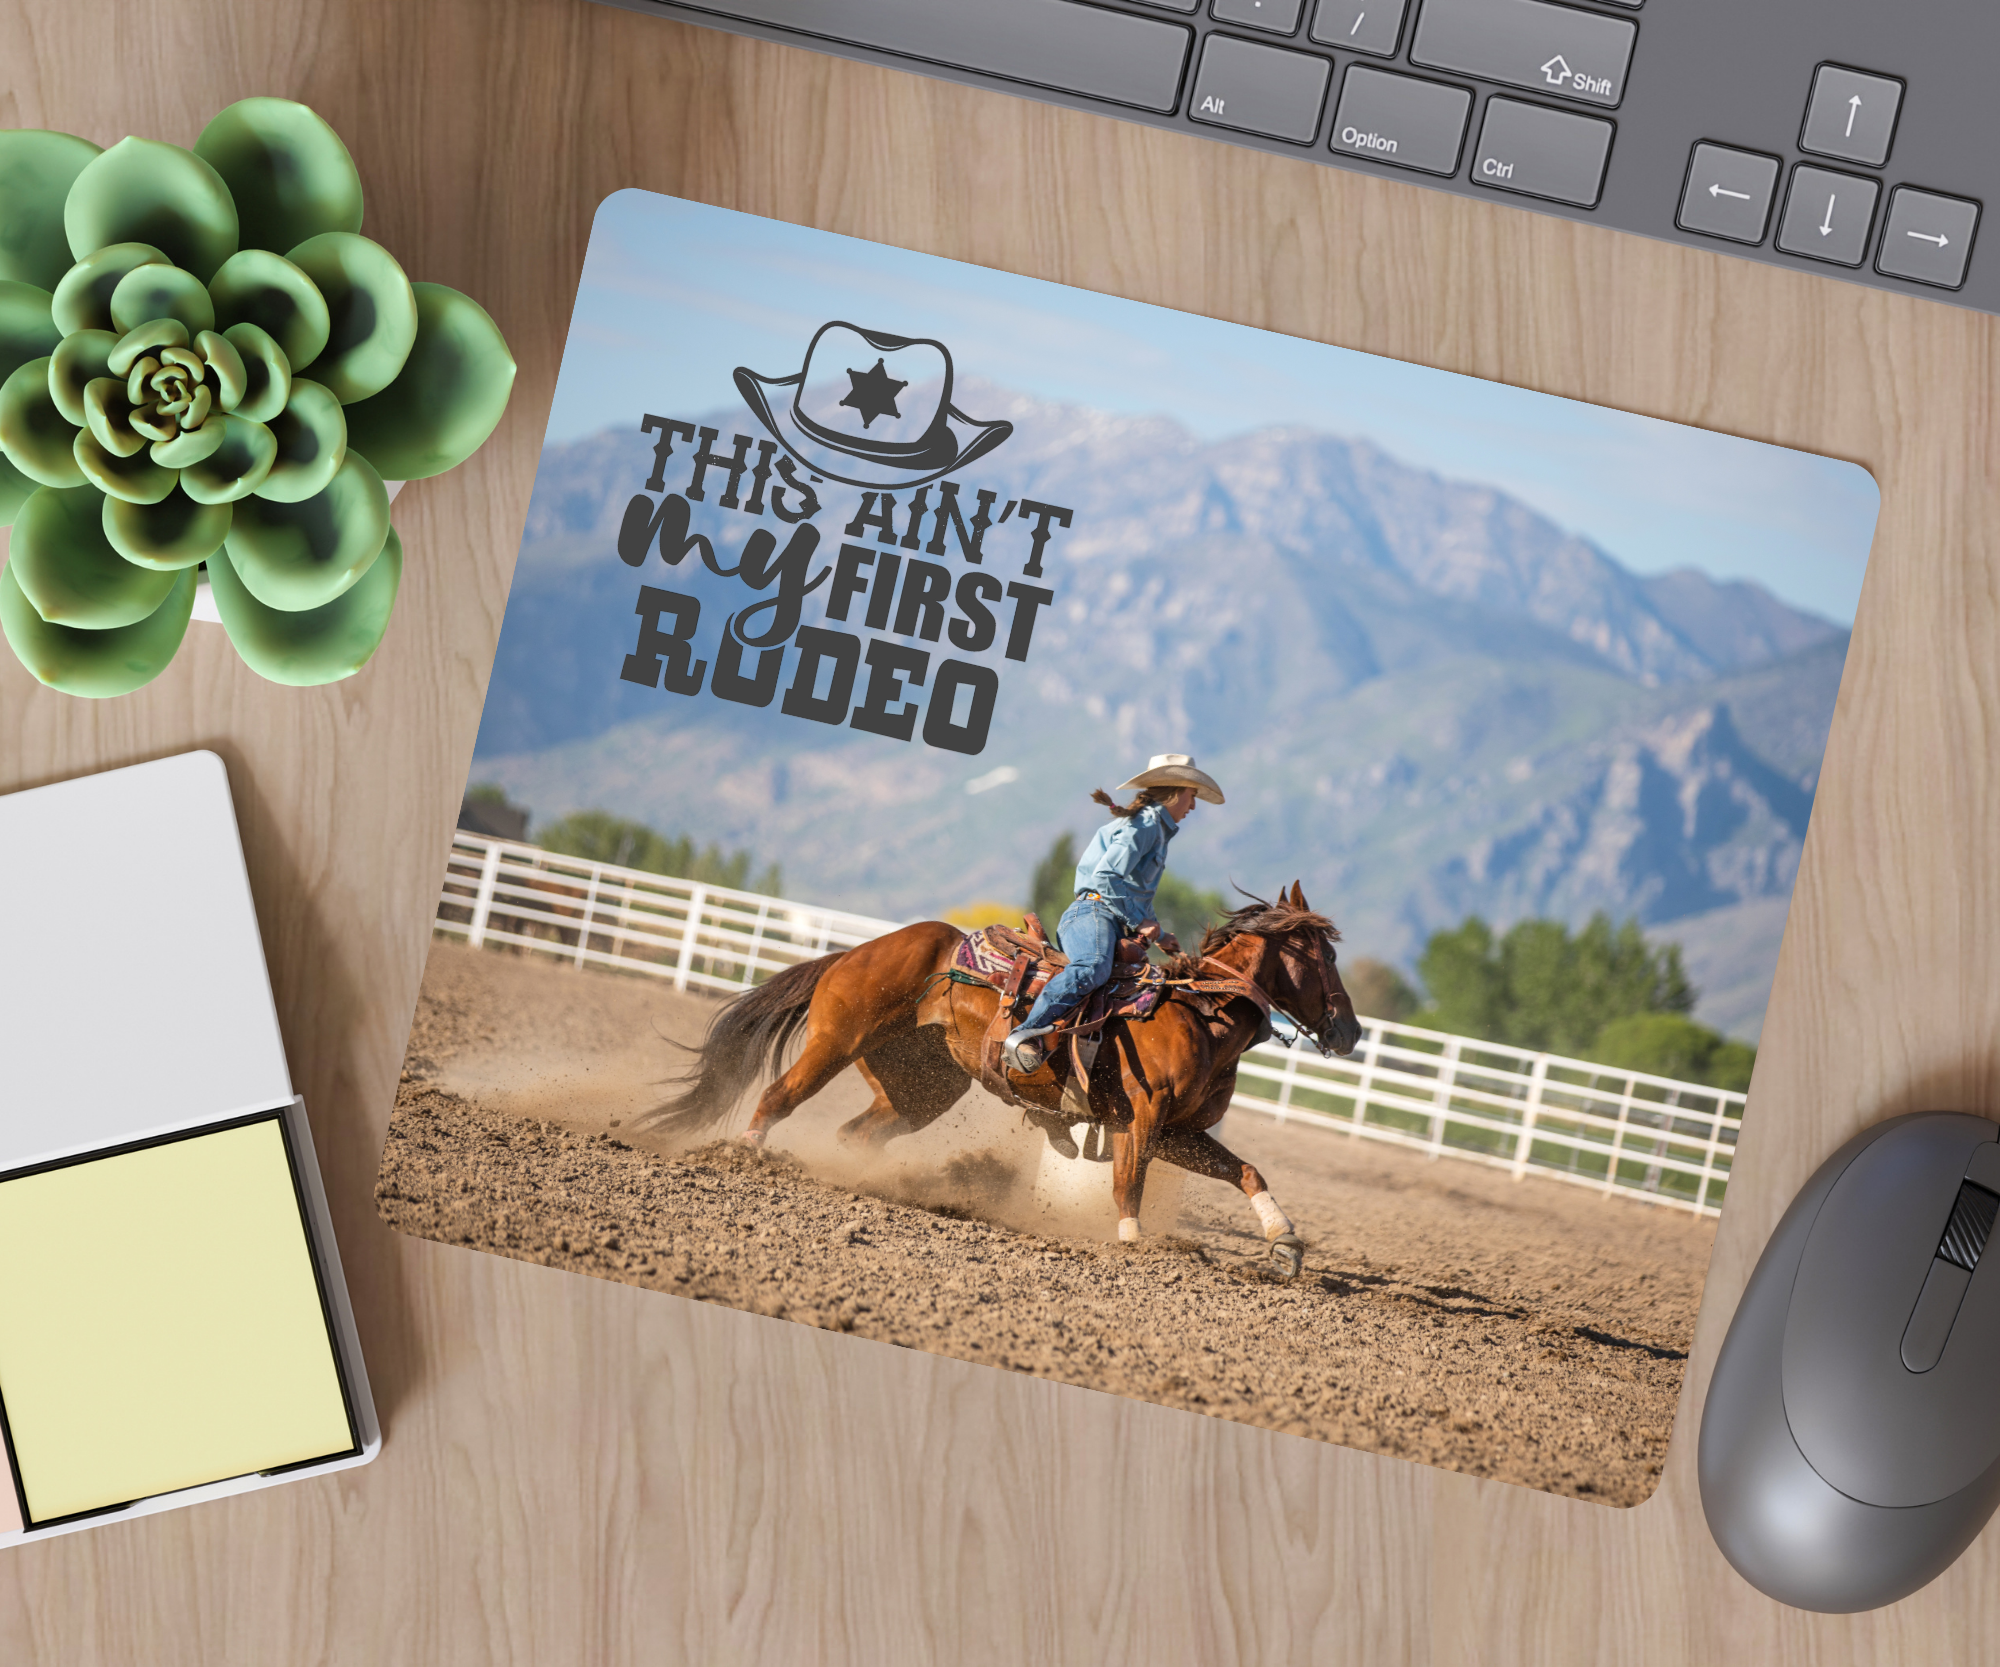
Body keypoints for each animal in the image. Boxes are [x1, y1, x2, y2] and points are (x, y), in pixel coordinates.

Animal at [639, 883, 1363, 1276]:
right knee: (777, 1096)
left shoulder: (1180, 1131)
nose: (1351, 1031)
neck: (1194, 1013)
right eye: (1321, 956)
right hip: (835, 1042)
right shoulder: (1142, 1120)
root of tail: (857, 949)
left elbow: (1246, 1171)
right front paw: (1131, 1243)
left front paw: (1285, 1242)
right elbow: (1127, 1183)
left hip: (921, 1090)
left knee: (856, 1132)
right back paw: (746, 1157)